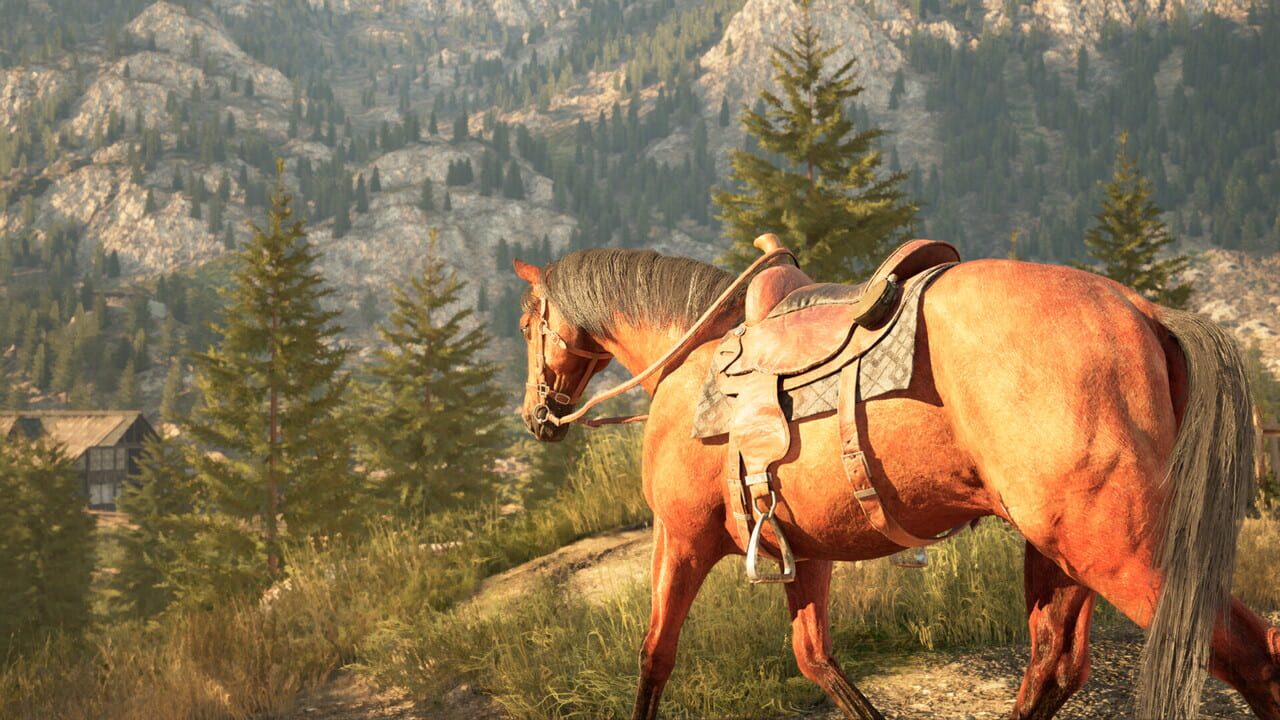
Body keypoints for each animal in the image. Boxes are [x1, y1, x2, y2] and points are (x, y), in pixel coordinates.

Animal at [510, 245, 1280, 720]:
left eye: (525, 324)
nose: (536, 415)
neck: (690, 363)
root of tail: (1143, 310)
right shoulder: (805, 553)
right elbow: (815, 658)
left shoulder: (680, 541)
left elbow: (654, 658)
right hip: (1059, 552)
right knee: (1054, 667)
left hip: (1120, 551)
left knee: (1253, 657)